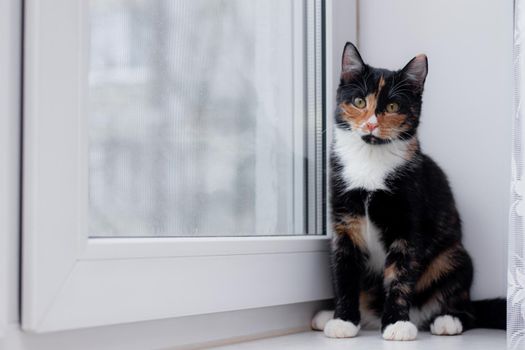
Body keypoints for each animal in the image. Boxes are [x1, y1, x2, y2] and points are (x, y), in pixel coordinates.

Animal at [310, 42, 506, 340]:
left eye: (392, 105)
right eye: (359, 101)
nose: (371, 124)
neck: (371, 159)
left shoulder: (409, 221)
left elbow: (400, 275)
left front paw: (396, 323)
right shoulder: (344, 220)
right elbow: (344, 272)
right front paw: (343, 320)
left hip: (453, 257)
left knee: (466, 305)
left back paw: (447, 320)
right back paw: (333, 316)